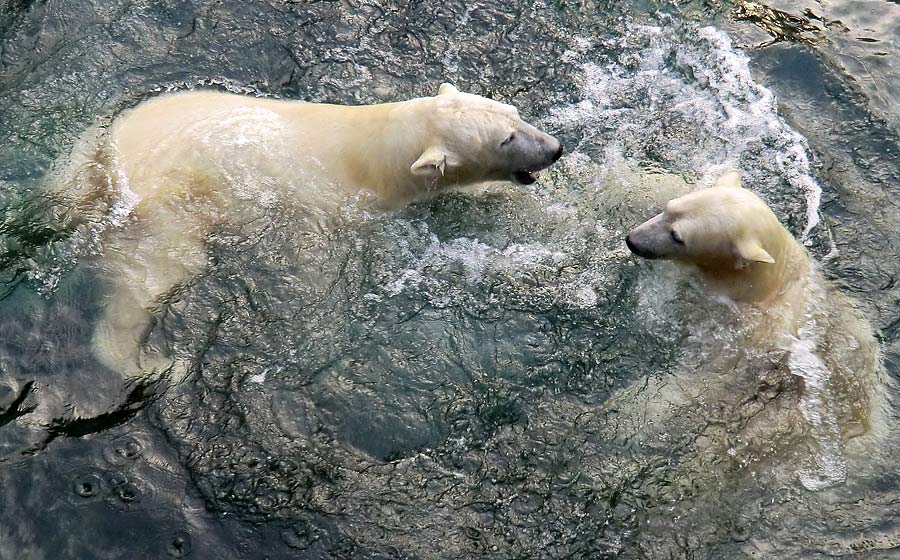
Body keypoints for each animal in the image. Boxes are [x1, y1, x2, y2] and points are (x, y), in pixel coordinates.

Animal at [86, 83, 564, 378]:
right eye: (504, 139)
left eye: (515, 115)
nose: (556, 149)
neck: (370, 152)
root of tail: (104, 168)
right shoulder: (336, 207)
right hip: (171, 209)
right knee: (156, 275)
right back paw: (152, 364)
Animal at [624, 170, 884, 490]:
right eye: (667, 209)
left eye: (678, 236)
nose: (633, 241)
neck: (765, 281)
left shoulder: (751, 333)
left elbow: (709, 374)